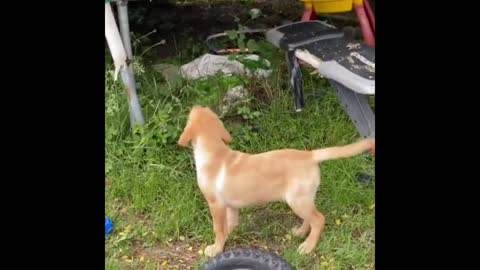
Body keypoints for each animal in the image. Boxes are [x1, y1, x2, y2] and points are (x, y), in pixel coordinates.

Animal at [177, 104, 376, 256]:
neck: (215, 152)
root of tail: (310, 155)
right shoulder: (230, 205)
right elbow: (230, 222)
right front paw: (229, 233)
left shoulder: (215, 204)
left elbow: (218, 228)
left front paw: (216, 248)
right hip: (302, 198)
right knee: (310, 218)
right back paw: (300, 232)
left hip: (296, 200)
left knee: (319, 219)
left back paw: (307, 246)